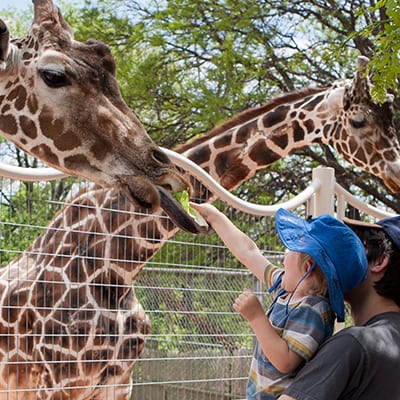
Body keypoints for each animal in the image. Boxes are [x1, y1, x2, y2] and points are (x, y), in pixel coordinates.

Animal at [0, 56, 398, 400]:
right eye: (360, 121)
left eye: (391, 121)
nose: (396, 173)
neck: (118, 265)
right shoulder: (57, 380)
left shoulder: (119, 379)